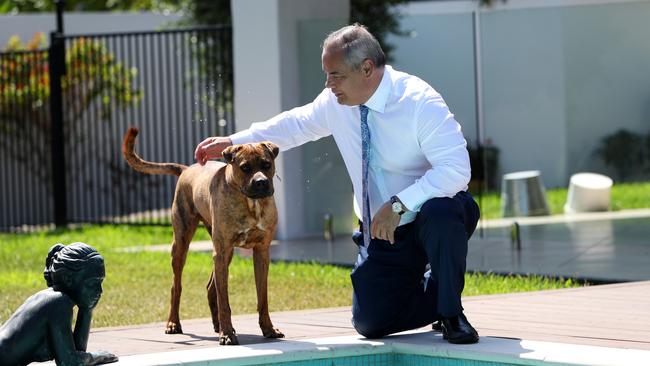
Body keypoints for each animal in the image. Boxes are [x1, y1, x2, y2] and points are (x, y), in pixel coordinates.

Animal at [121, 127, 284, 344]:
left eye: (267, 164)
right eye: (245, 167)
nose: (261, 183)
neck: (251, 203)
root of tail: (186, 169)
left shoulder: (261, 252)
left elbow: (262, 297)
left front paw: (268, 329)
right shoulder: (221, 252)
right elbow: (225, 301)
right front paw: (227, 334)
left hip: (224, 252)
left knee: (210, 287)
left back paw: (216, 325)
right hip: (182, 243)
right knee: (176, 287)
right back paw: (173, 324)